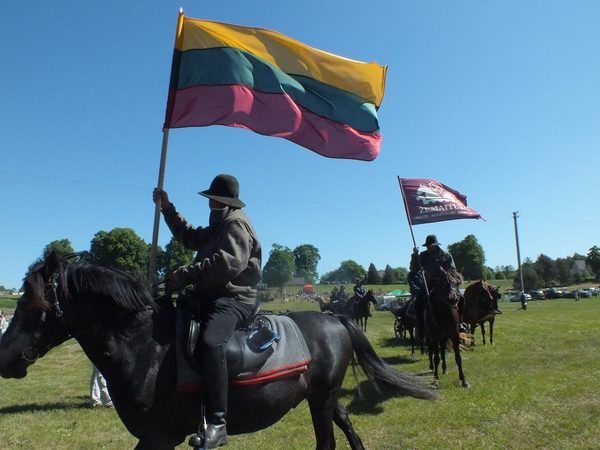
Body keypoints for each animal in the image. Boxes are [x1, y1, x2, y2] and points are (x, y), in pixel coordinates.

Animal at [0, 253, 436, 450]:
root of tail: (334, 319)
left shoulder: (159, 435)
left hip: (322, 396)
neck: (146, 350)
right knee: (344, 421)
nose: (4, 358)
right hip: (320, 395)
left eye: (32, 305)